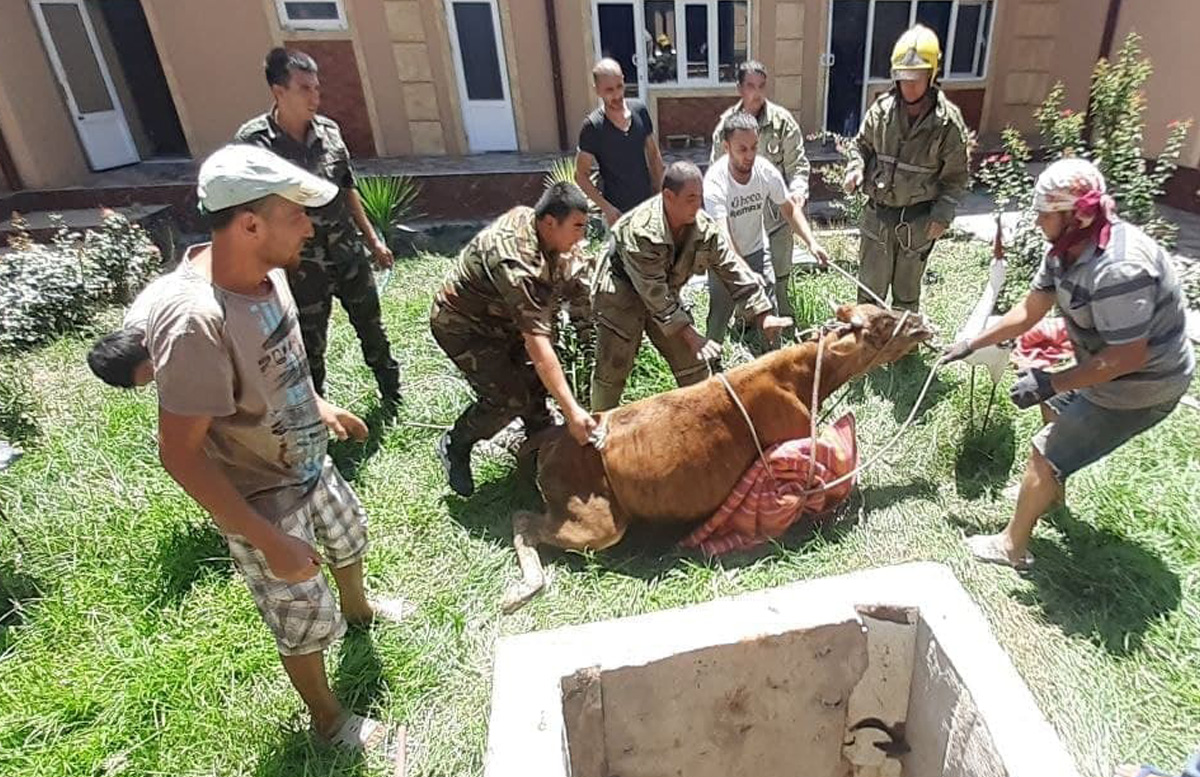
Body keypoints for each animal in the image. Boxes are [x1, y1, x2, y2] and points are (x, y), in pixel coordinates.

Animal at [501, 303, 931, 613]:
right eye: (884, 321)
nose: (922, 321)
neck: (802, 376)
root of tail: (556, 435)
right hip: (596, 522)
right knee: (522, 519)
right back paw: (522, 589)